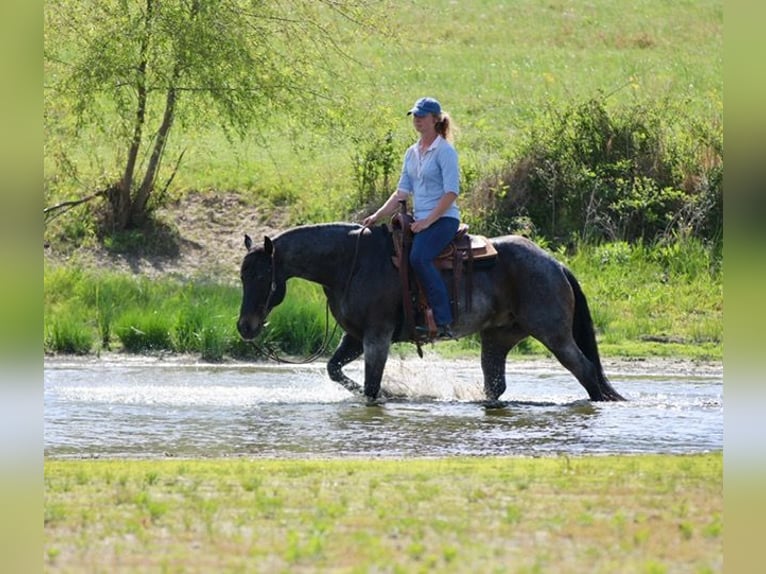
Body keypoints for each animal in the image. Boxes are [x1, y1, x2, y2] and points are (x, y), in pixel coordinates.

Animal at [237, 222, 625, 403]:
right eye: (242, 275)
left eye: (261, 276)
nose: (245, 327)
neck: (350, 263)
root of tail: (555, 264)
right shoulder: (355, 337)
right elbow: (334, 370)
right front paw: (396, 392)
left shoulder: (377, 337)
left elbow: (371, 386)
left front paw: (390, 393)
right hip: (497, 338)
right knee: (495, 385)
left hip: (555, 336)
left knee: (587, 372)